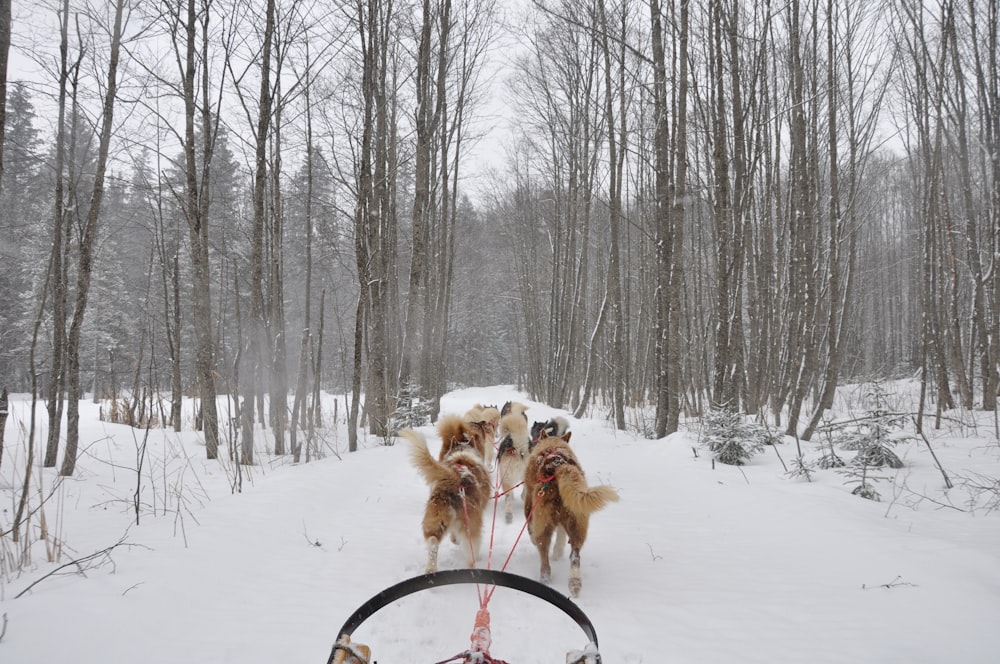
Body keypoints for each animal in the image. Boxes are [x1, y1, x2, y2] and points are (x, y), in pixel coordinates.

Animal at [398, 416, 492, 576]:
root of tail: (455, 480)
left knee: (433, 541)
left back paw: (431, 570)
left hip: (434, 521)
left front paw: (454, 539)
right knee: (470, 553)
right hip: (471, 528)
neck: (462, 453)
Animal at [524, 430, 616, 596]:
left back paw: (545, 579)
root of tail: (559, 466)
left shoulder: (529, 506)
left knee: (544, 557)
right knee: (575, 555)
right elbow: (561, 537)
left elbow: (530, 528)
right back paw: (575, 584)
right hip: (577, 523)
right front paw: (557, 553)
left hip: (543, 524)